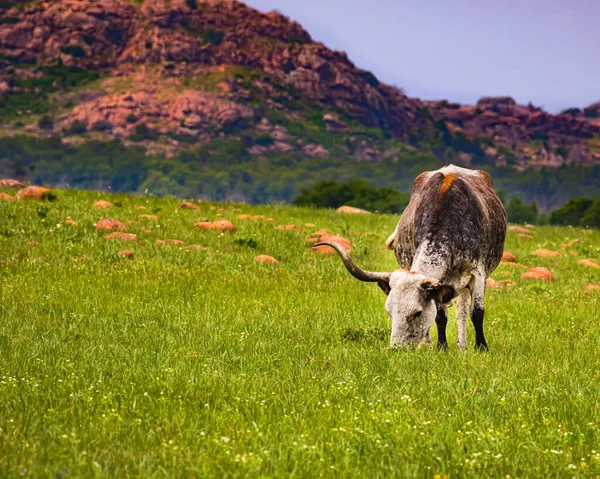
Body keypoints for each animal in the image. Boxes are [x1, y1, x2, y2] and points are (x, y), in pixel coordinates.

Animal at [314, 167, 506, 350]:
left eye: (417, 313)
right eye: (389, 312)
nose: (396, 348)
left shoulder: (478, 272)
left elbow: (477, 312)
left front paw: (481, 347)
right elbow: (440, 316)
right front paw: (441, 347)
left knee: (463, 312)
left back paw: (462, 346)